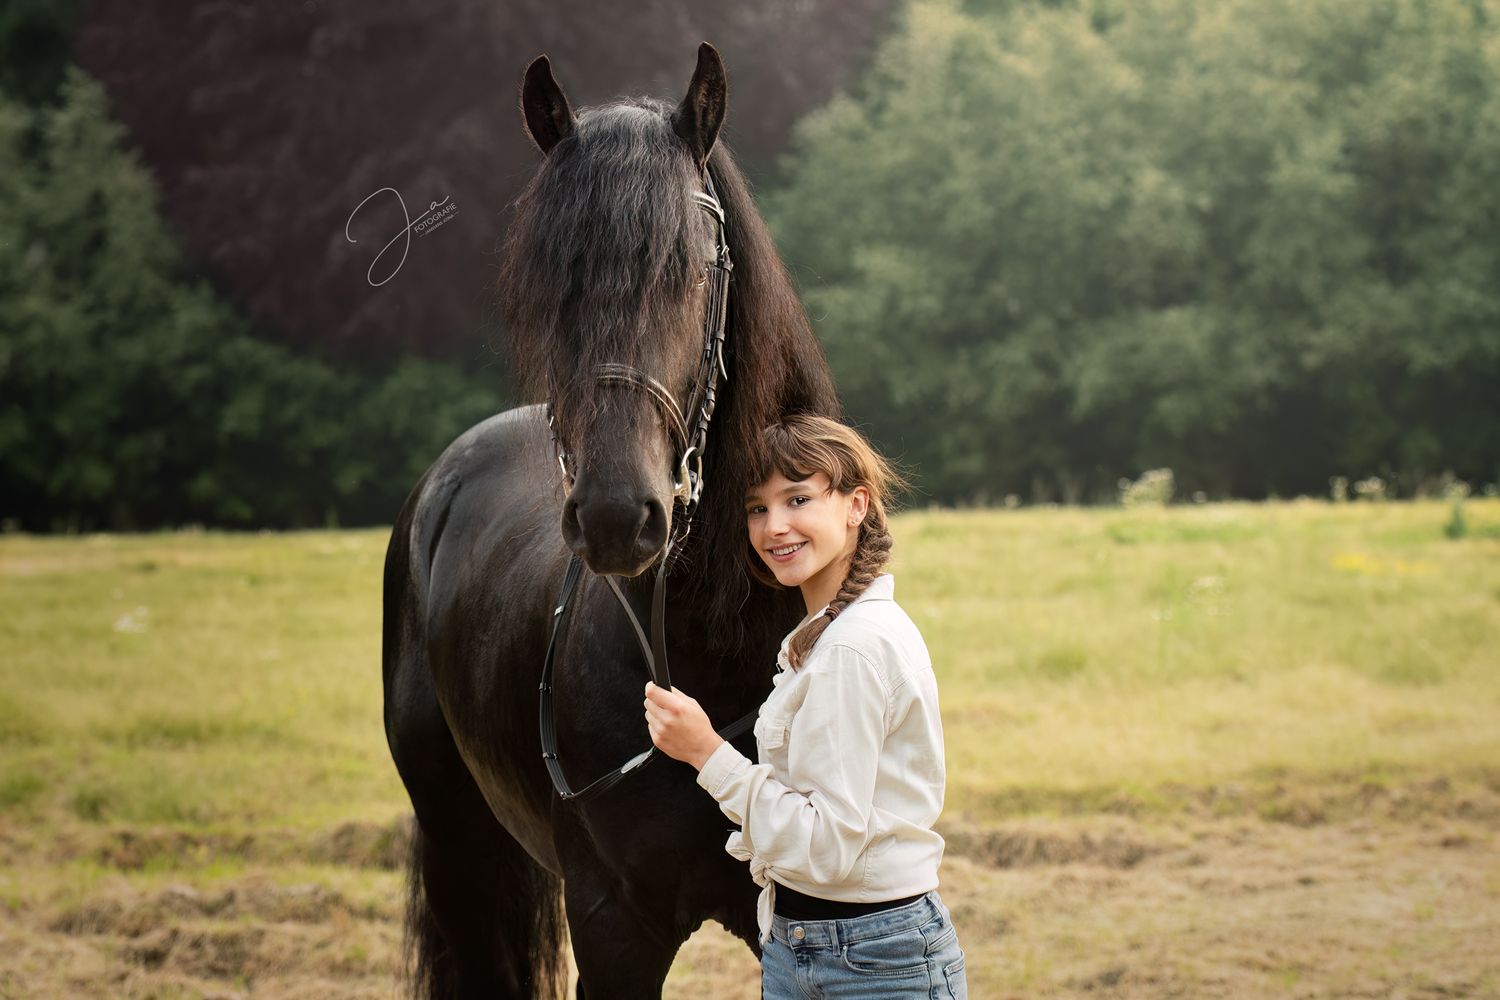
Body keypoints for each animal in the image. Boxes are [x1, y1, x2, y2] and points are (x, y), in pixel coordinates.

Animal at [382, 43, 842, 998]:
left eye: (692, 270)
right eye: (547, 288)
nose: (616, 515)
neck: (711, 648)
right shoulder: (611, 925)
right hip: (456, 847)